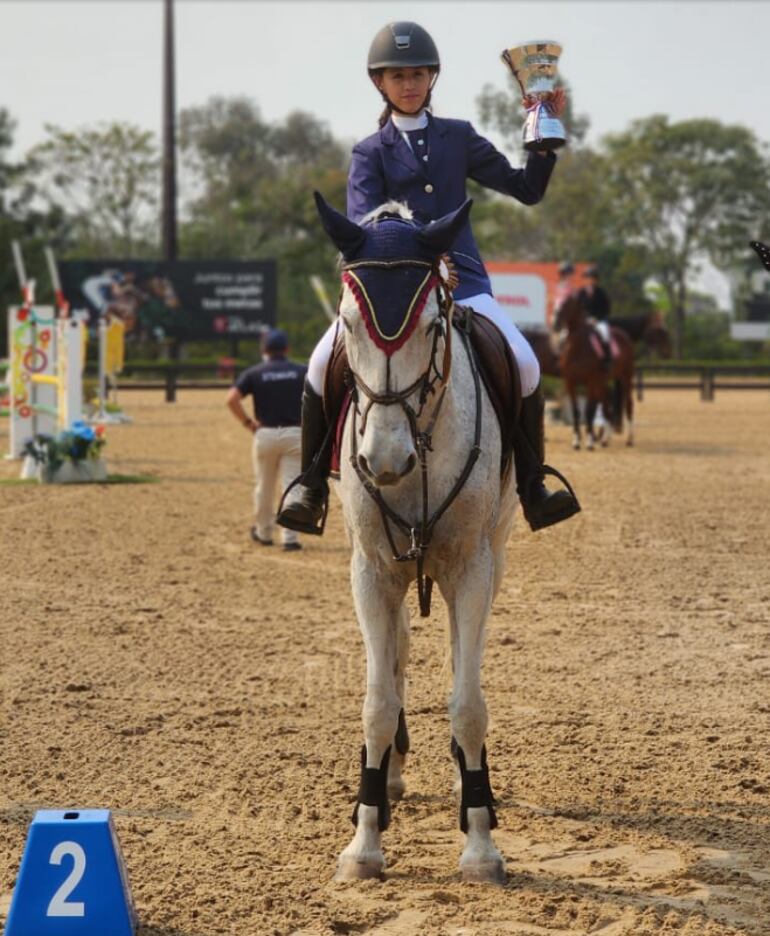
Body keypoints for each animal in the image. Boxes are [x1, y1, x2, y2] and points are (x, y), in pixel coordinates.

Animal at [316, 194, 512, 880]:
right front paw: (364, 842)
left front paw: (480, 843)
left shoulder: (472, 568)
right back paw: (390, 780)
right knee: (397, 651)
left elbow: (468, 701)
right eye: (348, 324)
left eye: (431, 324)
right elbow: (376, 703)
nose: (383, 460)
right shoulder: (371, 571)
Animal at [556, 294, 632, 452]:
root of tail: (623, 335)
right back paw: (605, 440)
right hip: (602, 382)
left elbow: (589, 411)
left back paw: (629, 439)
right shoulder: (570, 382)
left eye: (567, 303)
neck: (577, 347)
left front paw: (590, 442)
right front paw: (576, 441)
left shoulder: (590, 382)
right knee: (606, 407)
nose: (556, 323)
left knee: (628, 404)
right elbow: (576, 411)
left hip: (626, 377)